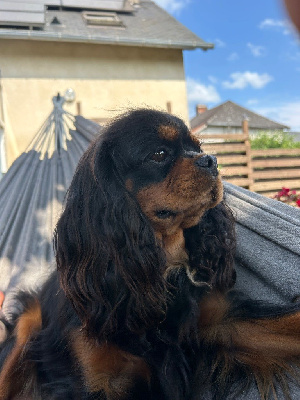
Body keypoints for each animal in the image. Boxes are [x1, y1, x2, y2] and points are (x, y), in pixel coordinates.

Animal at [0, 109, 300, 400]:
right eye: (159, 154)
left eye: (198, 148)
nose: (211, 161)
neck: (158, 266)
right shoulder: (96, 380)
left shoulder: (226, 323)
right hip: (25, 324)